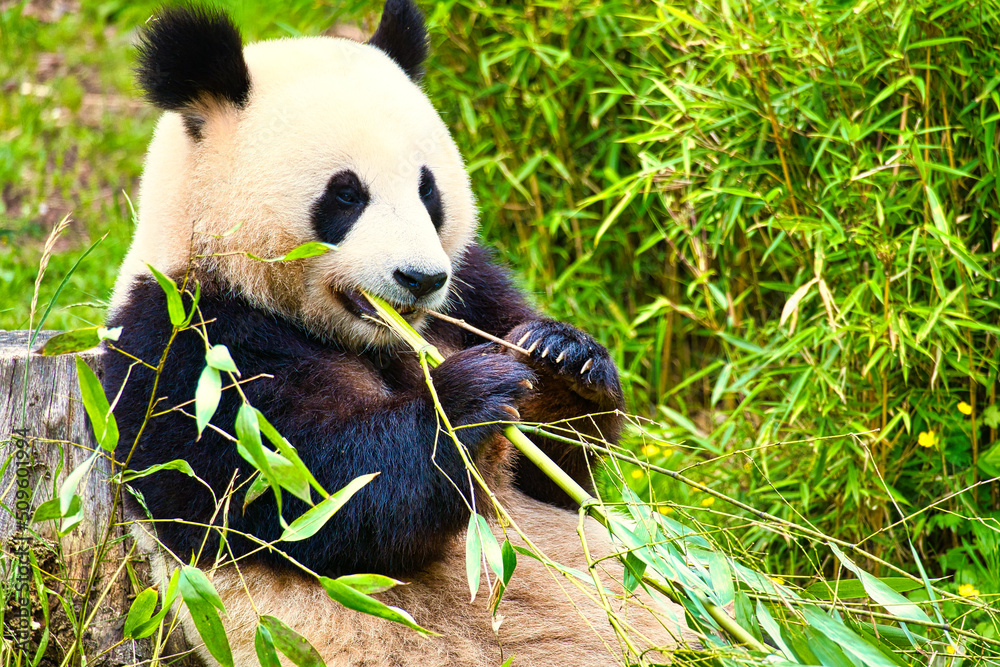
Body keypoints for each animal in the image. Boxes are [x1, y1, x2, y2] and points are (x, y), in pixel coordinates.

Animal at [103, 1, 695, 665]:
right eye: (346, 194)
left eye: (426, 188)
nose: (420, 278)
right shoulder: (184, 343)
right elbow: (311, 492)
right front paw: (471, 398)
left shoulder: (471, 289)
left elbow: (559, 479)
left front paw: (562, 360)